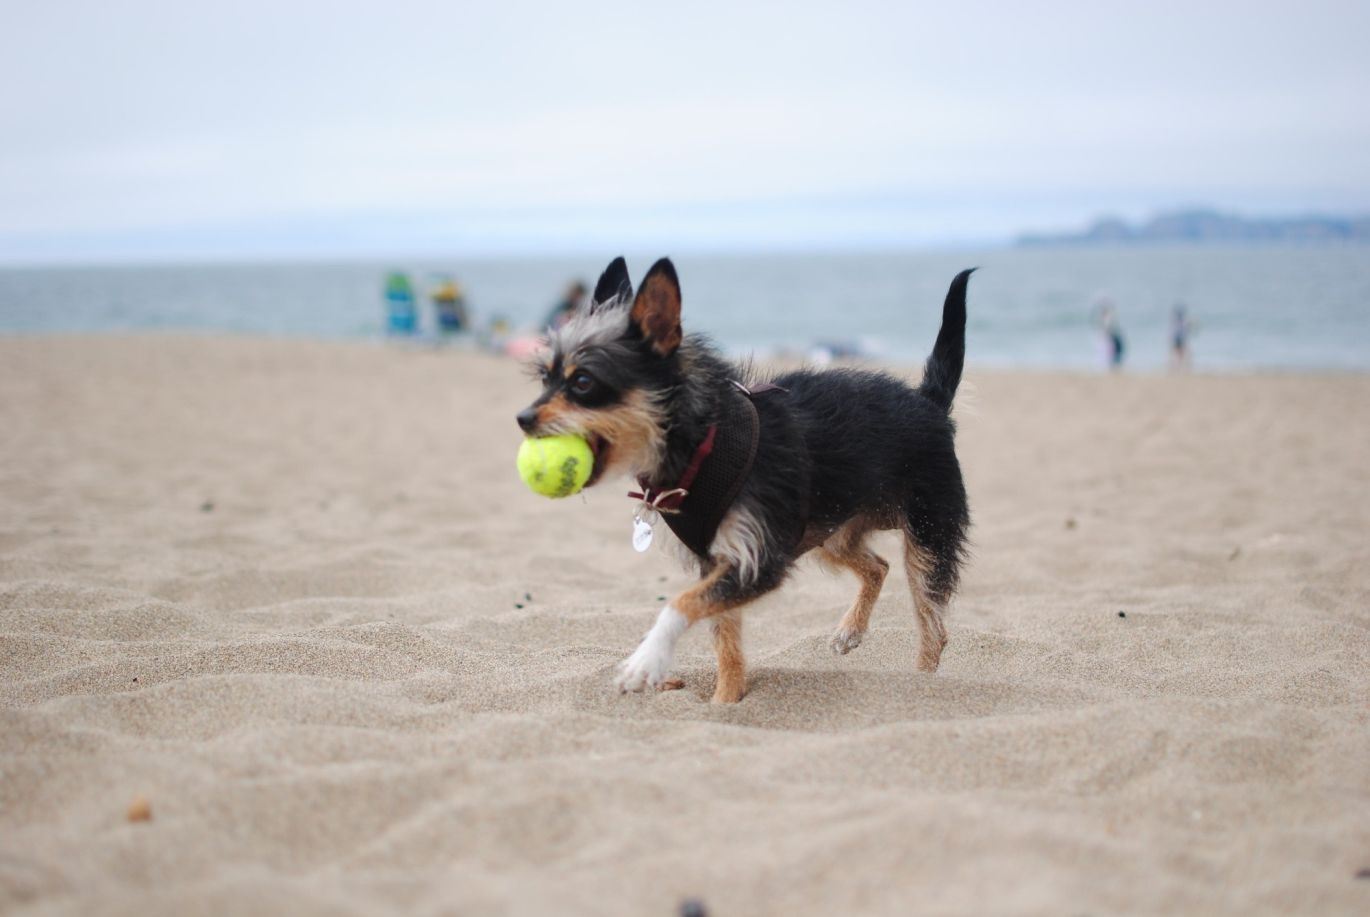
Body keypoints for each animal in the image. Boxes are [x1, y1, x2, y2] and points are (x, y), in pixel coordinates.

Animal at [515, 257, 975, 701]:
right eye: (546, 378)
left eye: (583, 382)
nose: (522, 419)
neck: (703, 443)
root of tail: (928, 402)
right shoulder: (718, 559)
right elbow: (726, 641)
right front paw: (726, 701)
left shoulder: (758, 560)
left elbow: (681, 603)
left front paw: (647, 659)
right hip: (832, 530)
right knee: (878, 566)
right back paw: (851, 629)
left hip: (926, 533)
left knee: (933, 625)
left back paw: (920, 684)